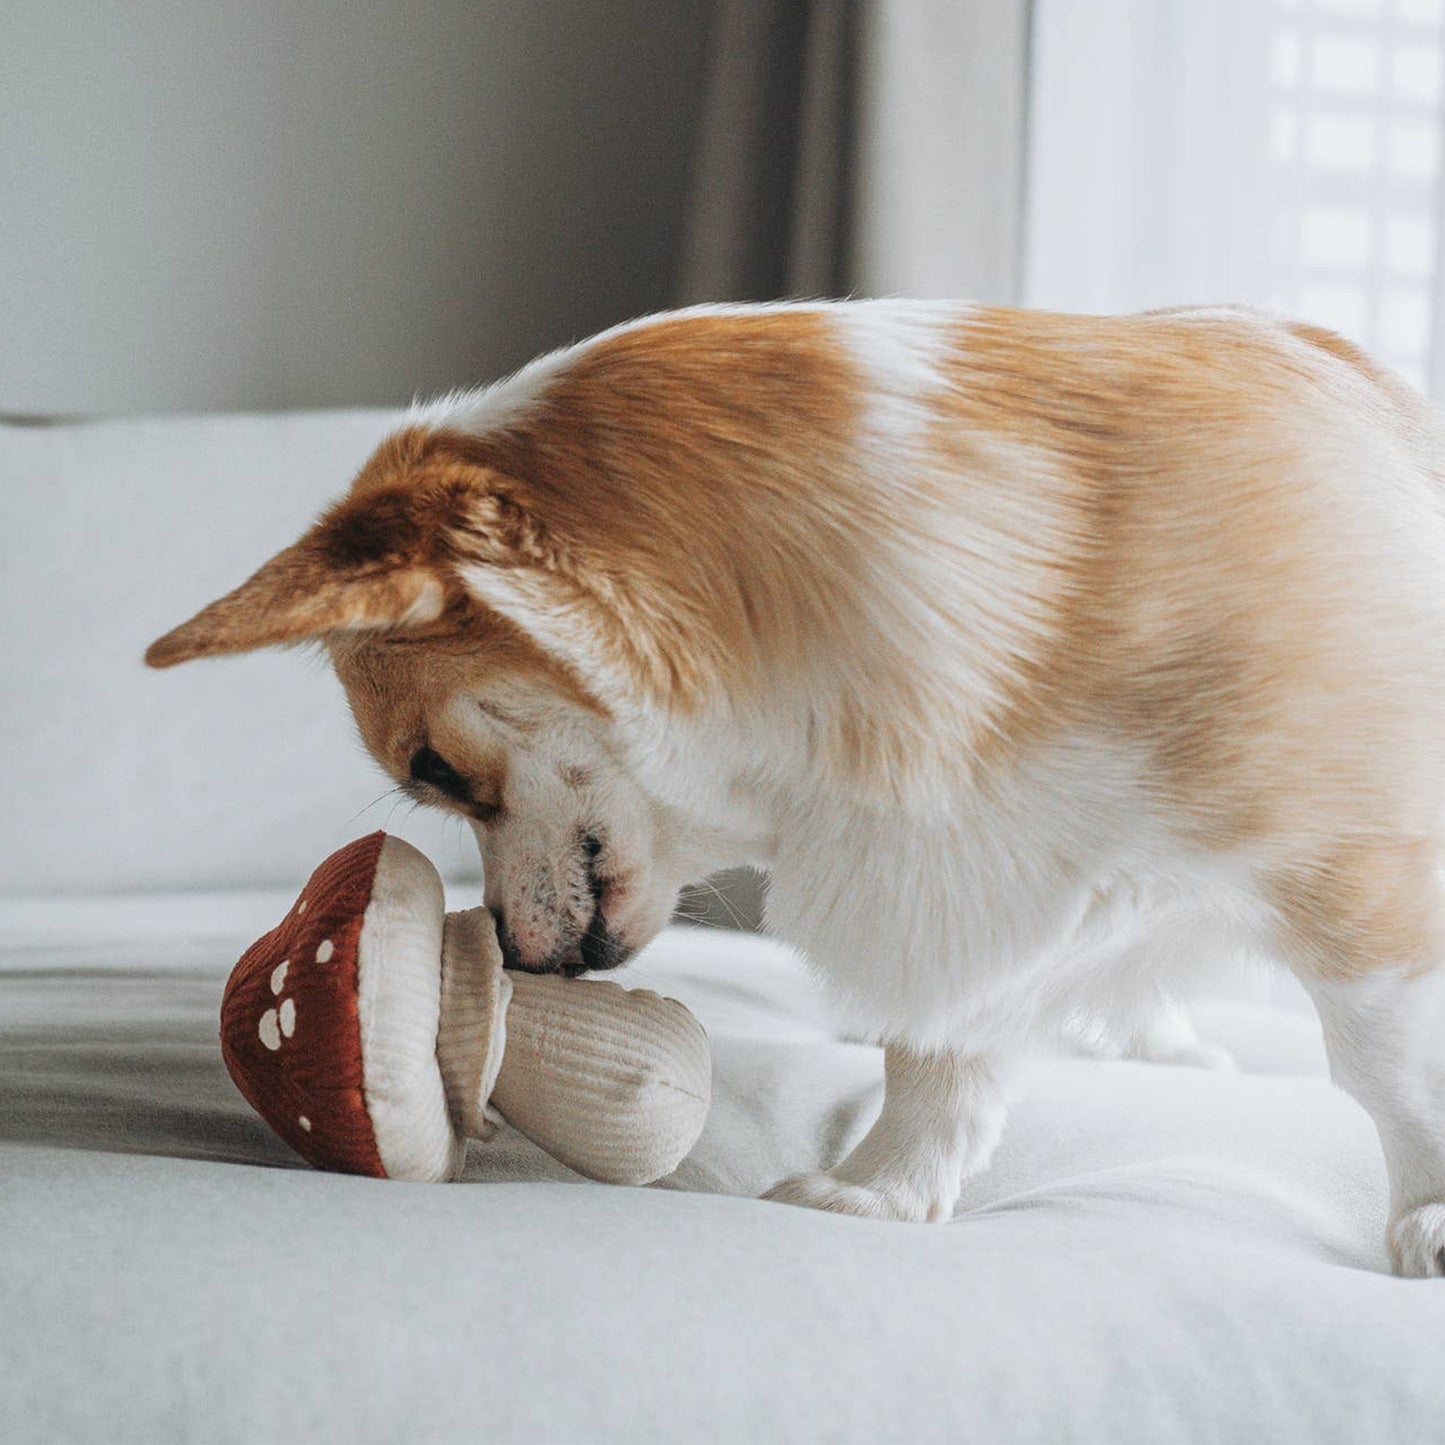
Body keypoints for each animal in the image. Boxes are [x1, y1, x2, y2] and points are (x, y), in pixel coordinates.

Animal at [149, 302, 1445, 1277]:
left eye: (430, 769)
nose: (508, 959)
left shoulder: (1360, 875)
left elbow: (1384, 1063)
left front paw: (1429, 1213)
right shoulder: (951, 881)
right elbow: (939, 1058)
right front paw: (882, 1193)